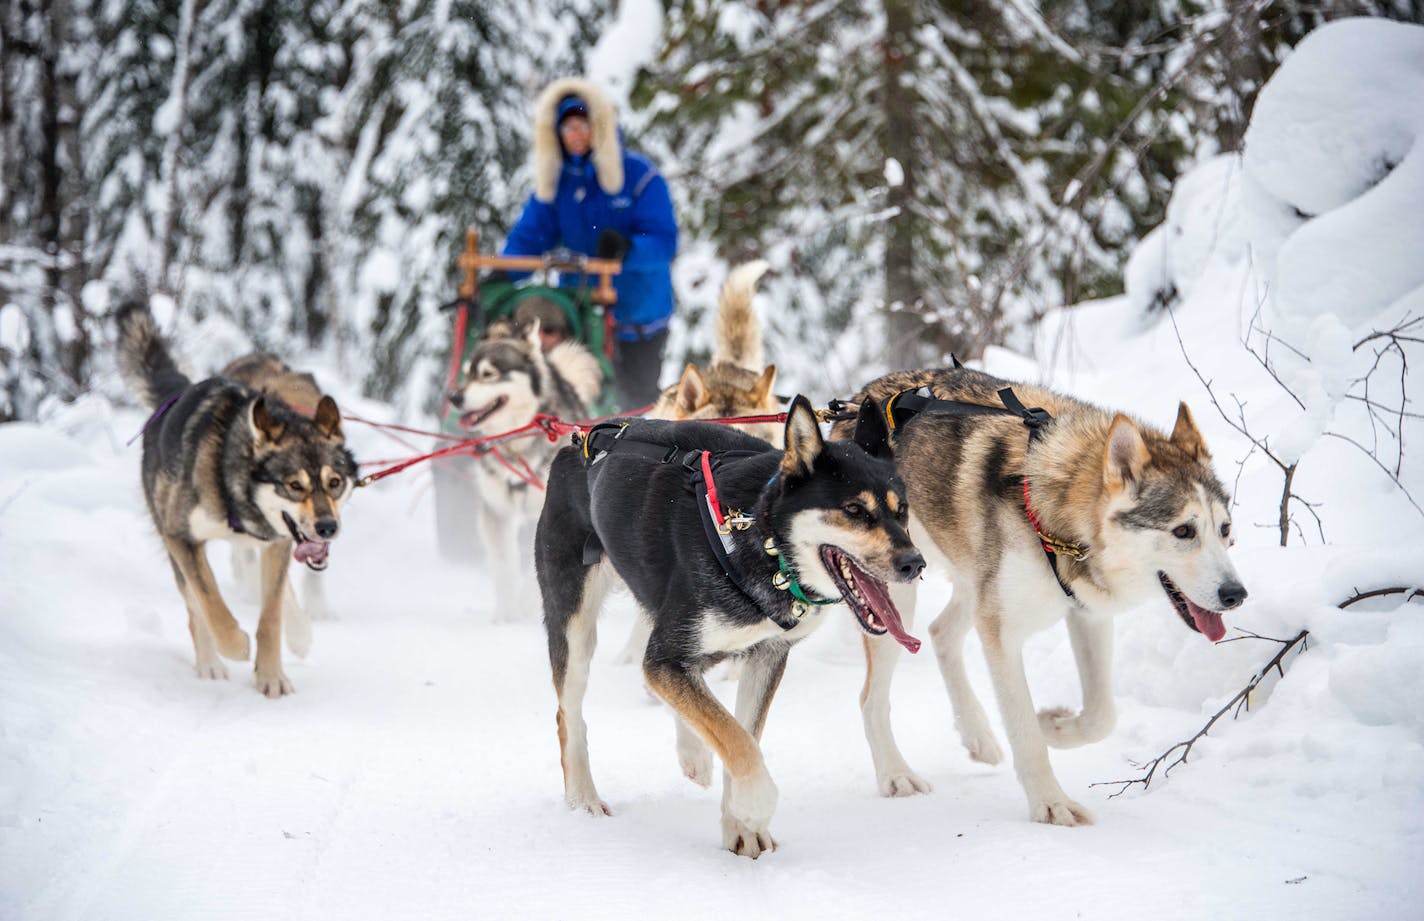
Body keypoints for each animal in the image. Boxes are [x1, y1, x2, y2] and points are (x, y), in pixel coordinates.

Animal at [114, 303, 358, 700]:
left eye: (334, 483)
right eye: (294, 485)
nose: (327, 527)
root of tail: (174, 395)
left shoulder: (277, 542)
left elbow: (271, 615)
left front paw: (271, 675)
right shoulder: (181, 538)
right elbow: (209, 600)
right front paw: (237, 645)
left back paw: (299, 633)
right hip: (172, 540)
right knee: (194, 606)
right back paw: (210, 664)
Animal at [444, 320, 600, 623]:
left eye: (488, 374)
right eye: (467, 373)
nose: (454, 396)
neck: (518, 446)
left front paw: (527, 605)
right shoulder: (496, 510)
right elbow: (504, 564)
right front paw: (507, 613)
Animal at [535, 395, 922, 859]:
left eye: (902, 511)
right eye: (854, 510)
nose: (914, 563)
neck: (763, 539)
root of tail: (580, 440)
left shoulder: (766, 655)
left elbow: (741, 734)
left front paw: (739, 825)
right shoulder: (670, 656)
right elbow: (736, 740)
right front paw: (755, 803)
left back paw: (693, 752)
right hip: (576, 621)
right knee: (568, 713)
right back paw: (584, 798)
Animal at [831, 367, 1247, 831]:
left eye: (1225, 530)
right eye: (1183, 531)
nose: (1236, 594)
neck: (1055, 515)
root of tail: (862, 397)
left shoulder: (1087, 614)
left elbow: (1102, 715)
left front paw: (1054, 727)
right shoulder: (1002, 633)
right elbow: (1026, 734)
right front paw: (1051, 804)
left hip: (974, 583)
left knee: (940, 633)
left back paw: (977, 734)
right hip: (899, 593)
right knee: (872, 698)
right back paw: (896, 774)